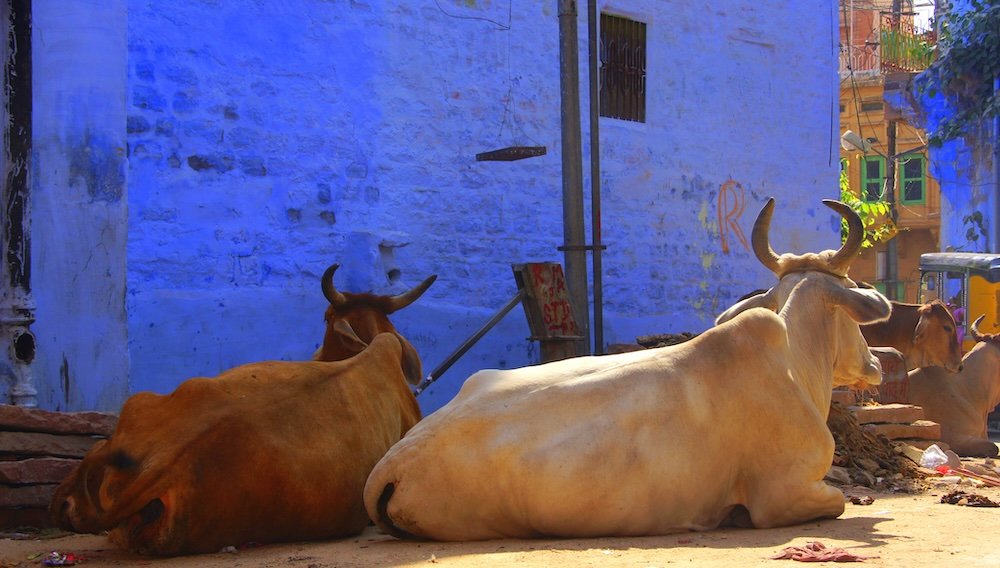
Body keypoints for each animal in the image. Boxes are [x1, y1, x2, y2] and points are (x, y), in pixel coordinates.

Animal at [362, 197, 892, 540]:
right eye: (852, 301)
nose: (874, 365)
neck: (793, 364)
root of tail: (390, 466)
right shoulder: (784, 495)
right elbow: (837, 502)